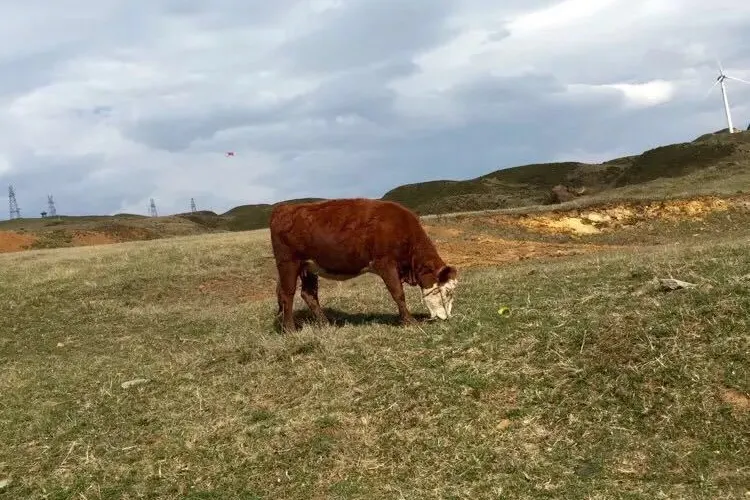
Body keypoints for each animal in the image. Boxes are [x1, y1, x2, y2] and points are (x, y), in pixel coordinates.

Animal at [268, 198, 458, 332]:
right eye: (447, 292)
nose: (448, 317)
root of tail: (283, 208)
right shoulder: (385, 263)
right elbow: (398, 293)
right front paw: (408, 321)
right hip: (288, 263)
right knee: (287, 294)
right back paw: (290, 329)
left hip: (308, 267)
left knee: (309, 294)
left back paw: (325, 324)